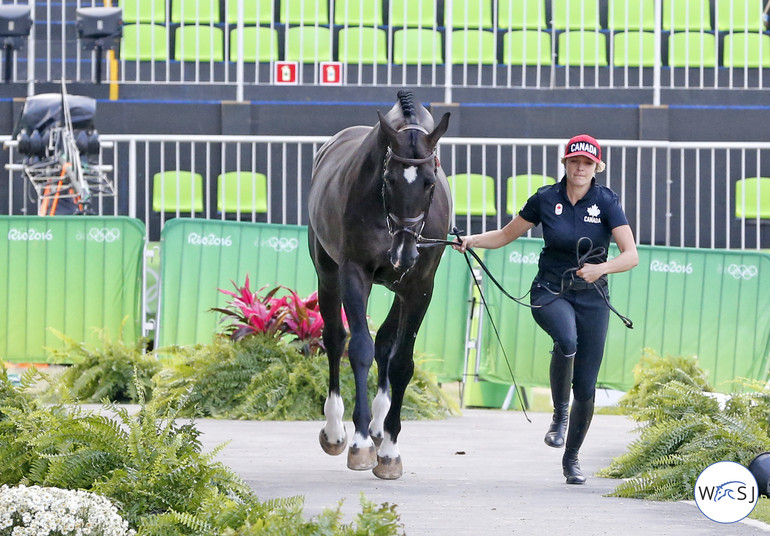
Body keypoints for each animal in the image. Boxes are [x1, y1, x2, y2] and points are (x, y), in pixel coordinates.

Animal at [306, 90, 450, 480]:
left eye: (430, 181)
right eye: (390, 179)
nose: (403, 252)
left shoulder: (421, 286)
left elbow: (401, 362)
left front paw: (389, 449)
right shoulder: (354, 273)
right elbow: (359, 348)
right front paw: (359, 443)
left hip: (400, 286)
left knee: (386, 342)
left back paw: (380, 424)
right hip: (327, 271)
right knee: (335, 338)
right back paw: (336, 430)